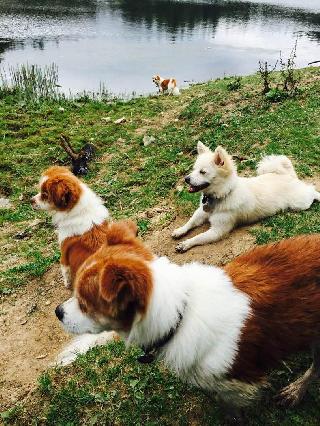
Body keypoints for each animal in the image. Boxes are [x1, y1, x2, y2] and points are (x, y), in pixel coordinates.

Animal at [56, 221, 320, 418]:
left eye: (84, 303)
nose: (58, 311)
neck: (181, 314)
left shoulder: (239, 385)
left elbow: (231, 408)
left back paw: (296, 390)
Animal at [172, 141, 320, 251]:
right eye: (193, 170)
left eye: (203, 172)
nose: (186, 179)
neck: (222, 194)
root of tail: (288, 175)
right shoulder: (201, 212)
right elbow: (191, 221)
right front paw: (180, 230)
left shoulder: (217, 231)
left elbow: (199, 237)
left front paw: (186, 243)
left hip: (299, 203)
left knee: (312, 190)